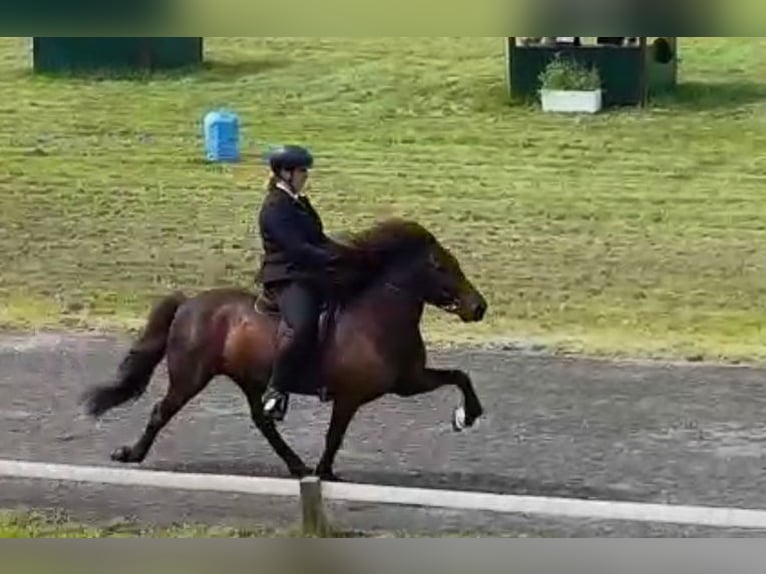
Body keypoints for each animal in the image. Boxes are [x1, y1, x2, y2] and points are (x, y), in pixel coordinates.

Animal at [81, 218, 488, 484]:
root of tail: (188, 304)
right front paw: (326, 473)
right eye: (440, 265)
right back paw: (131, 454)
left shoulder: (407, 381)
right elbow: (334, 435)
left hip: (248, 379)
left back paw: (296, 466)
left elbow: (460, 376)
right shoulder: (351, 395)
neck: (378, 318)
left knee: (262, 421)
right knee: (160, 412)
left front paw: (466, 416)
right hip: (190, 377)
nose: (478, 307)